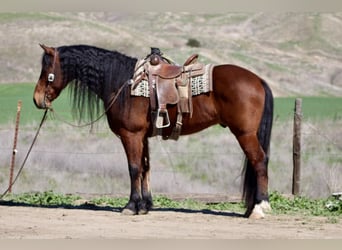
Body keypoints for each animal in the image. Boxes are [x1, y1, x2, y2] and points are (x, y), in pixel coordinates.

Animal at [32, 45, 272, 219]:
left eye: (47, 72)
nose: (36, 99)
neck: (123, 83)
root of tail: (258, 80)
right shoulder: (143, 137)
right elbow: (145, 168)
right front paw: (145, 205)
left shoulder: (131, 135)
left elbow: (133, 168)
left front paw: (131, 206)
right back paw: (251, 208)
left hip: (245, 134)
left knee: (259, 162)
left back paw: (259, 208)